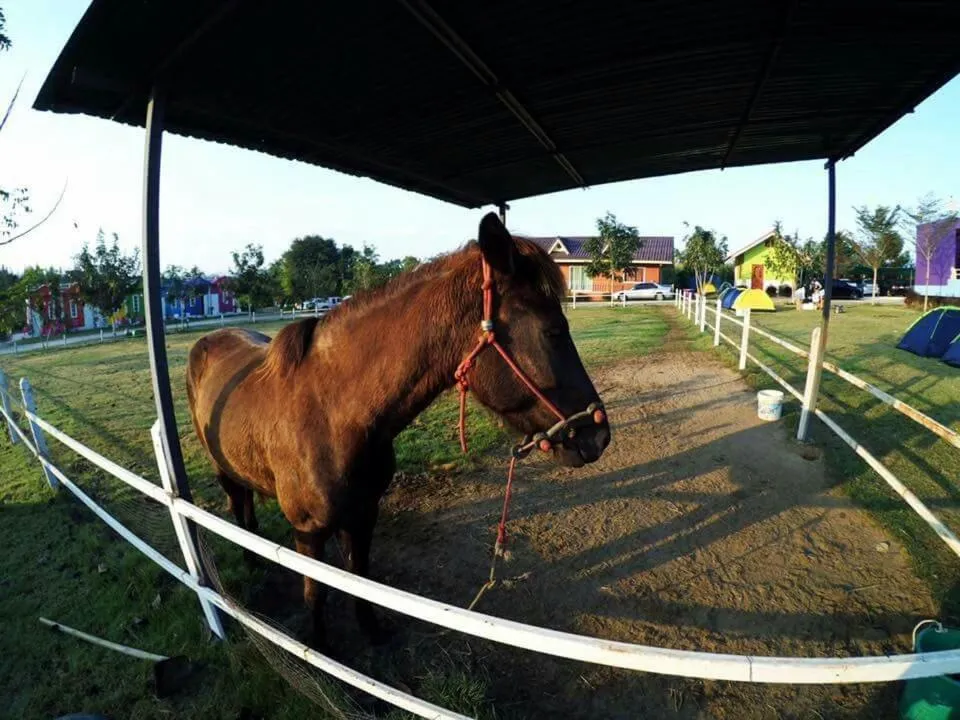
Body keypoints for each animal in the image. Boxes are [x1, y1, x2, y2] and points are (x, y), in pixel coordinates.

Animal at [186, 212, 611, 647]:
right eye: (553, 331)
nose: (599, 434)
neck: (334, 416)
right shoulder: (309, 532)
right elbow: (316, 596)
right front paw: (319, 646)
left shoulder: (364, 514)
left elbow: (360, 577)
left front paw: (371, 632)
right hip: (224, 473)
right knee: (240, 511)